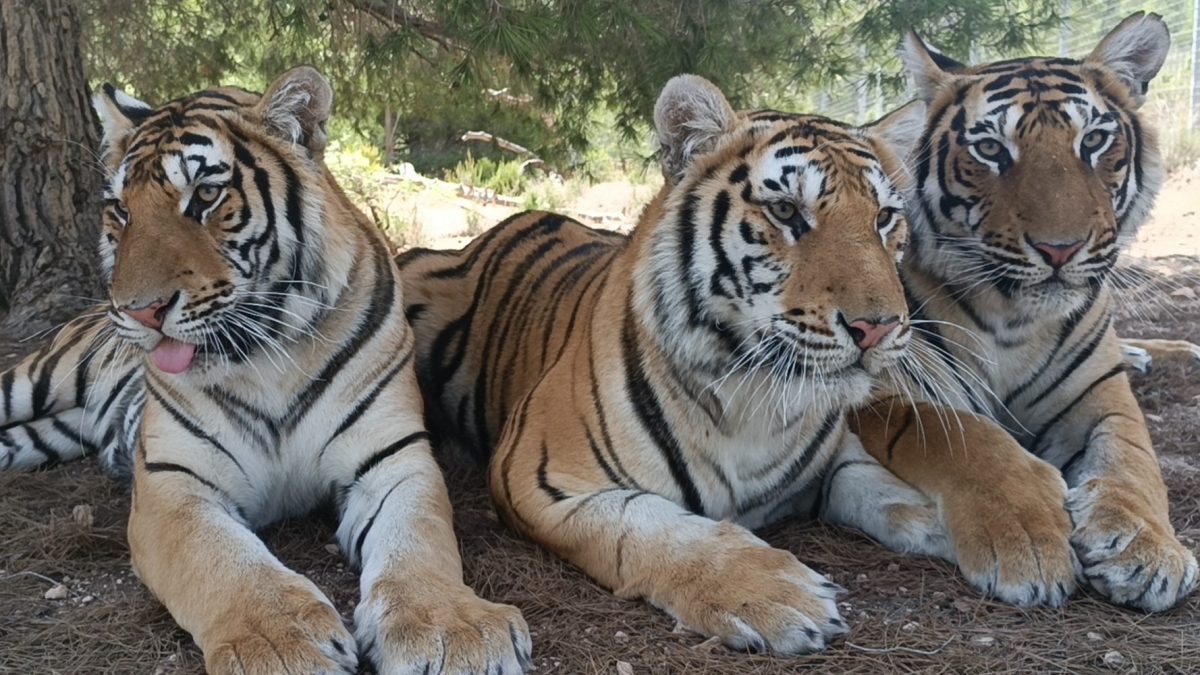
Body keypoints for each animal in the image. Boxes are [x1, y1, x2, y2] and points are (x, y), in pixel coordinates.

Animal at [0, 67, 533, 674]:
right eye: (121, 211)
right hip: (37, 379)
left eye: (206, 196)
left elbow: (420, 541)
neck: (268, 352)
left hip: (47, 434)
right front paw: (280, 643)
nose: (137, 312)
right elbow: (222, 560)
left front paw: (452, 630)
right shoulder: (172, 480)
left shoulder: (395, 461)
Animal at [396, 74, 1079, 654]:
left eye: (885, 218)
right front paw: (777, 594)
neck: (753, 396)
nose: (880, 326)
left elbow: (881, 488)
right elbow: (657, 528)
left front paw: (958, 525)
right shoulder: (542, 477)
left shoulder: (829, 458)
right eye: (787, 213)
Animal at [823, 12, 1198, 613]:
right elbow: (959, 436)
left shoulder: (1100, 393)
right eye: (991, 149)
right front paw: (1027, 537)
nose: (1060, 249)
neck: (1014, 318)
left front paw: (1145, 549)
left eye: (1094, 140)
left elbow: (1133, 459)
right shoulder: (875, 383)